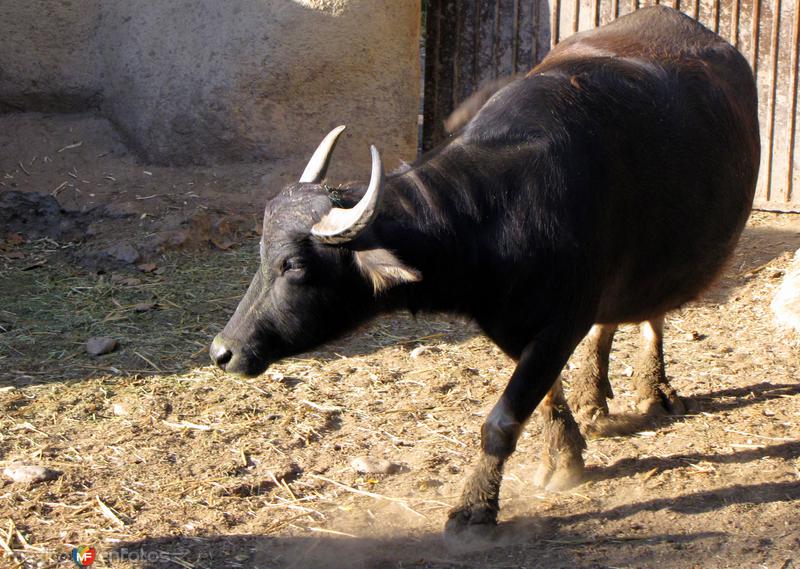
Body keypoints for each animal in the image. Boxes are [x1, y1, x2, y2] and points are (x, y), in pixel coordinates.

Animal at [209, 6, 760, 532]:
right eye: (262, 256)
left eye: (293, 264)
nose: (223, 351)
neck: (501, 211)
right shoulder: (514, 325)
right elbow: (545, 397)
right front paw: (565, 451)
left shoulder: (561, 323)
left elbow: (502, 419)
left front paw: (474, 508)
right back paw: (595, 397)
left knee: (653, 312)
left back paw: (654, 389)